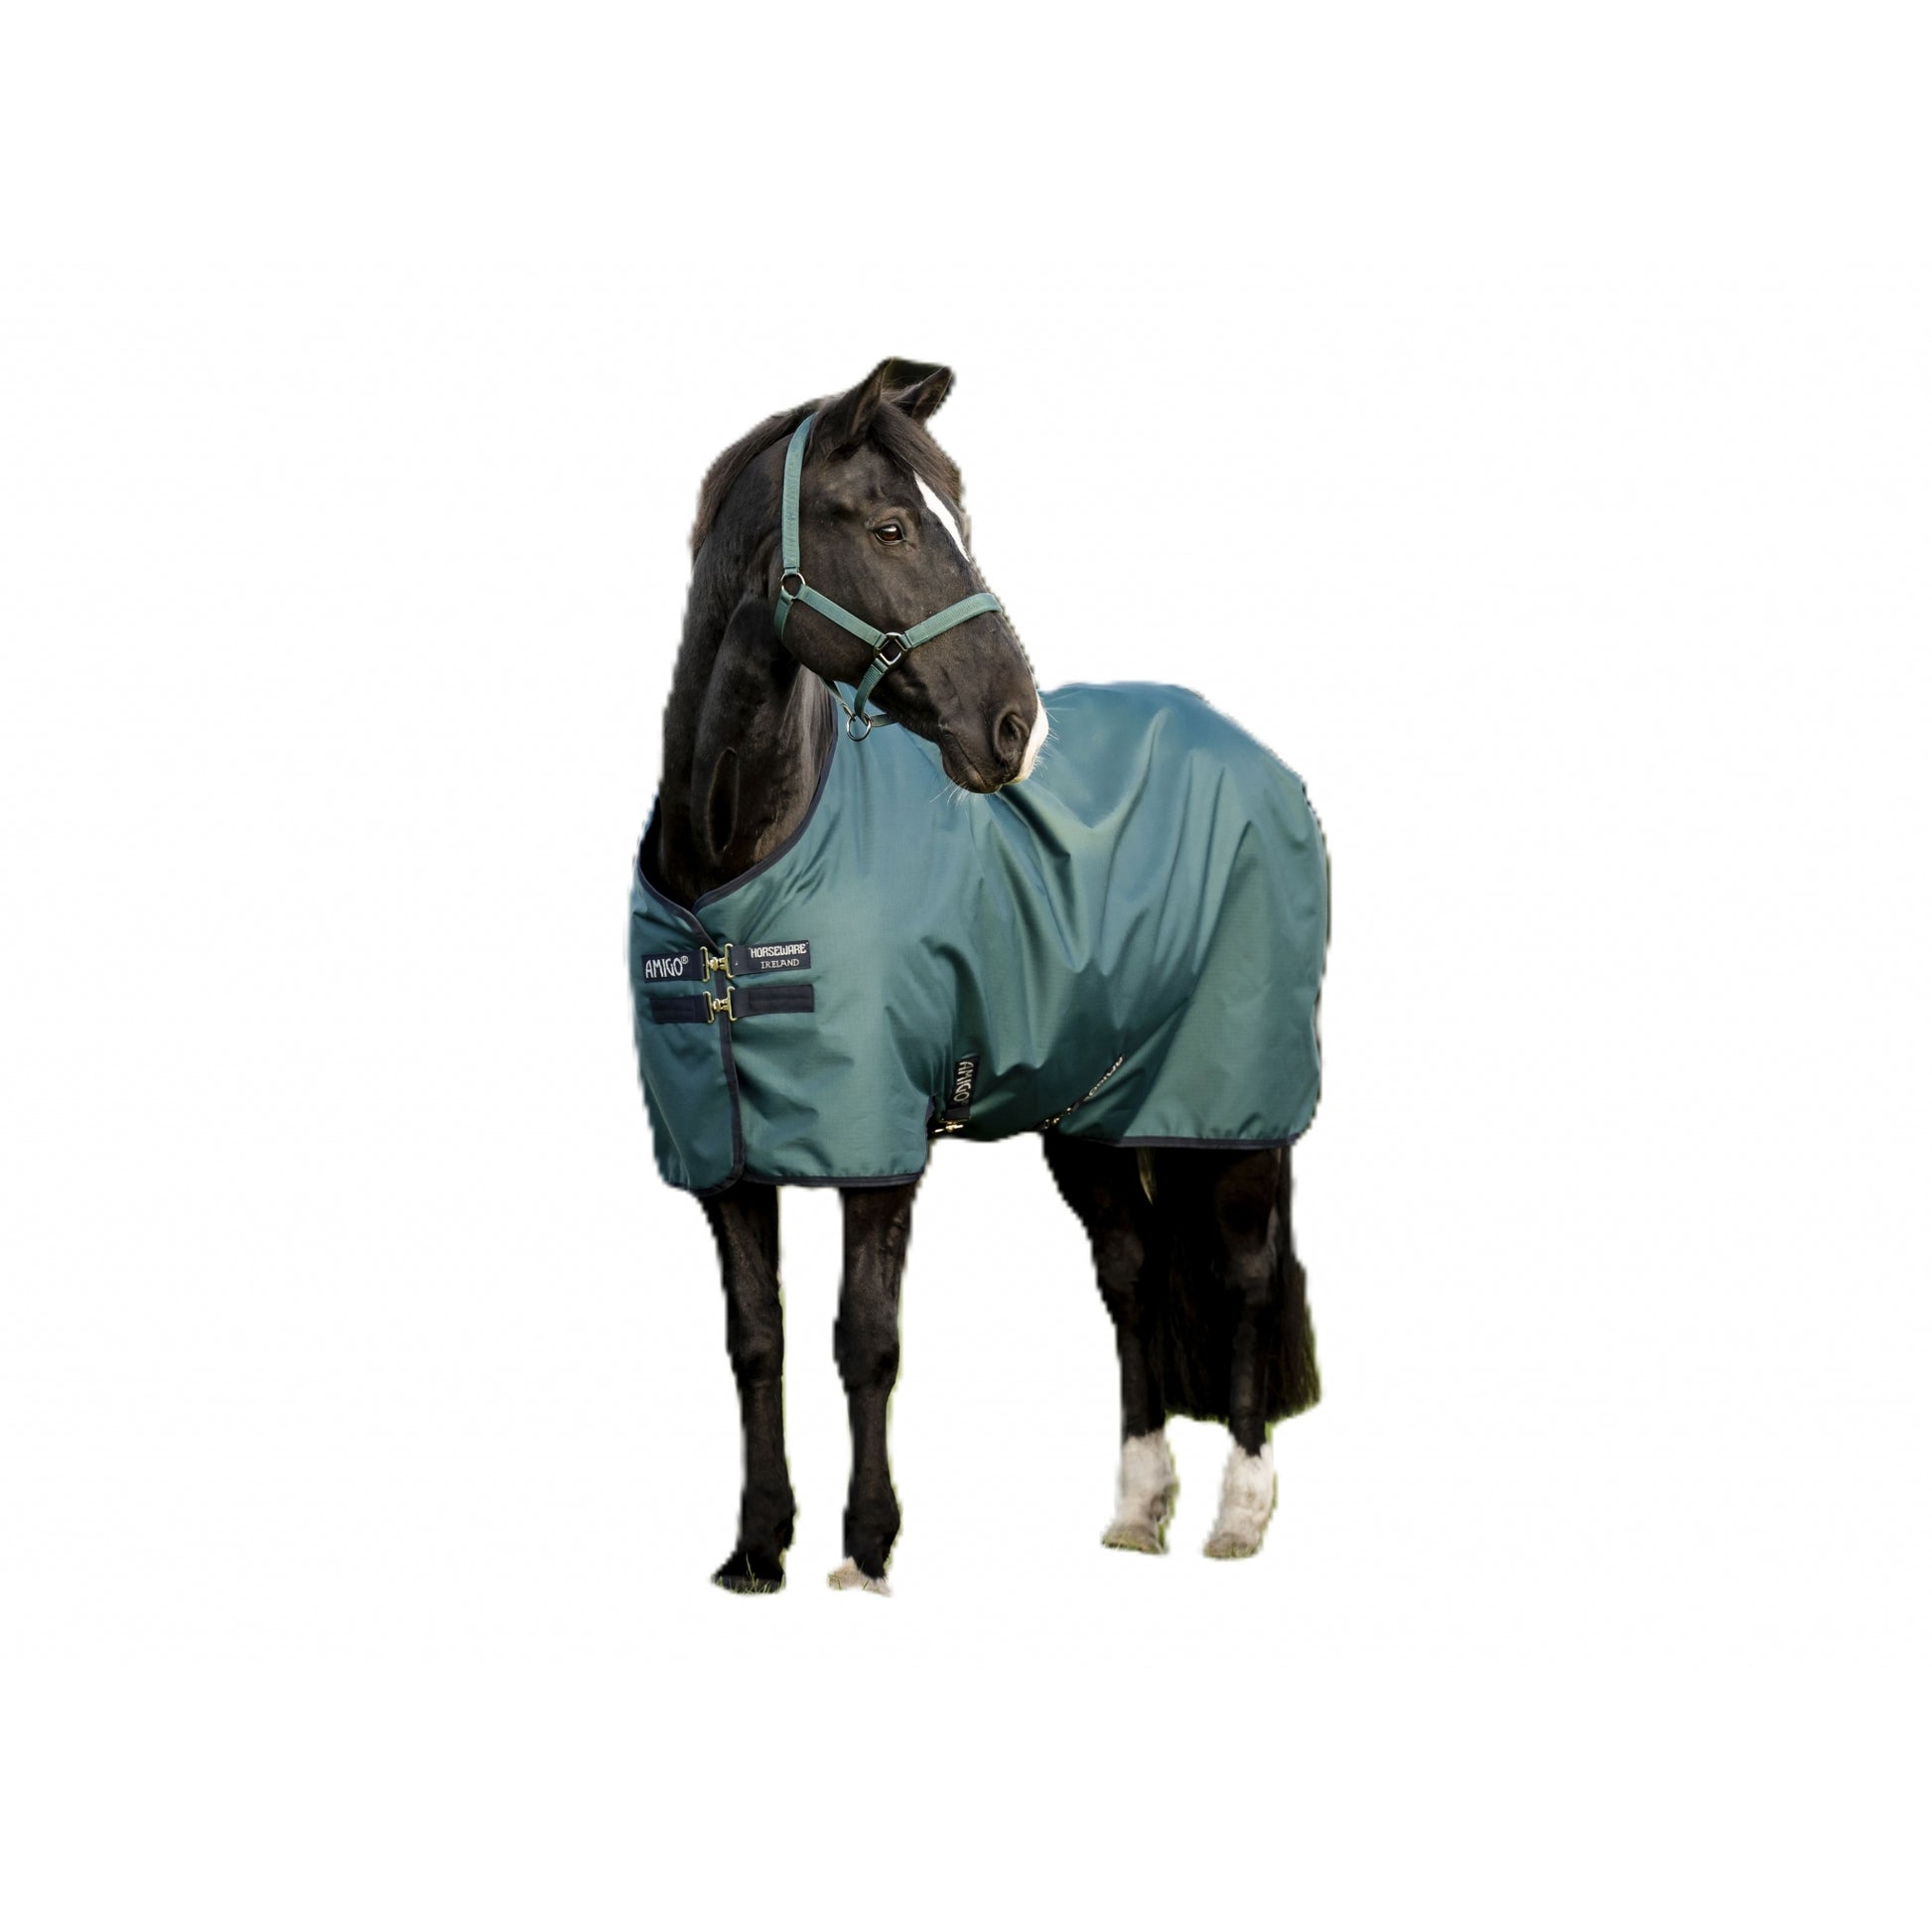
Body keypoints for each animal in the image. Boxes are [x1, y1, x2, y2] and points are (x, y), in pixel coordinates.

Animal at [630, 358, 1326, 1593]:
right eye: (892, 526)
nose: (1011, 727)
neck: (732, 879)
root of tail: (1260, 758)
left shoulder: (876, 1149)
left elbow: (865, 1339)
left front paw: (865, 1547)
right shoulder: (723, 1156)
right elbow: (754, 1340)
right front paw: (756, 1546)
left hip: (1236, 1107)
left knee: (1245, 1279)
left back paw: (1238, 1513)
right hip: (1095, 1112)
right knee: (1130, 1272)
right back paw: (1136, 1506)